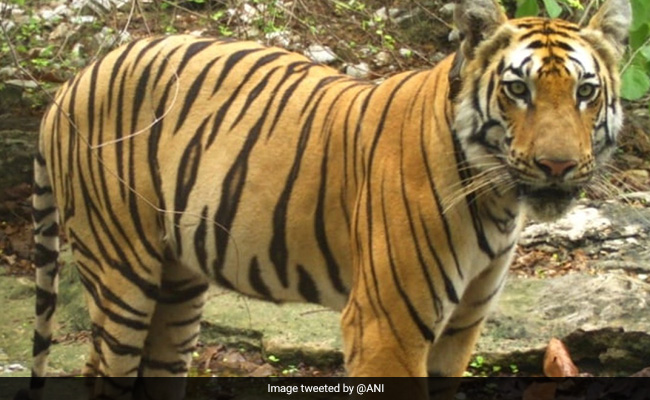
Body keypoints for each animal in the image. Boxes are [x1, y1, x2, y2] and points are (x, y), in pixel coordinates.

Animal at [25, 0, 630, 397]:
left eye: (585, 91)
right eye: (517, 89)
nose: (557, 166)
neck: (497, 201)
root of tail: (73, 81)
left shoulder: (460, 329)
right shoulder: (386, 326)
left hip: (177, 287)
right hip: (122, 274)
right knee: (101, 370)